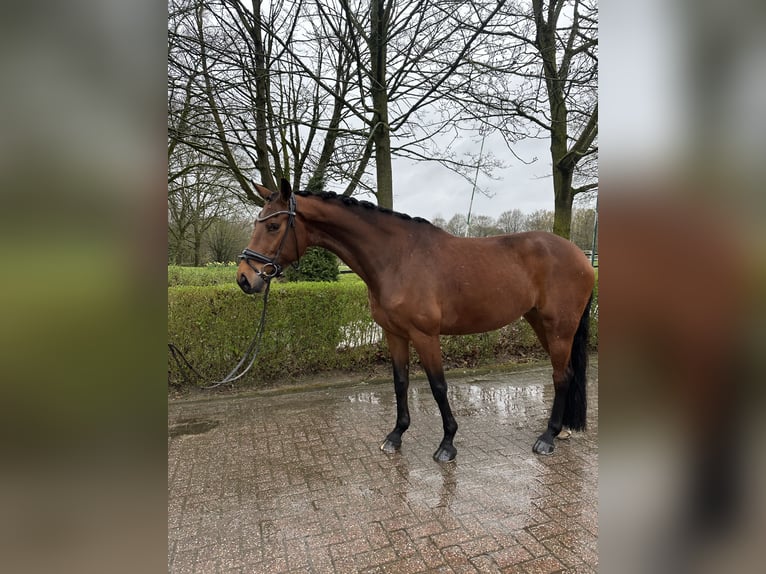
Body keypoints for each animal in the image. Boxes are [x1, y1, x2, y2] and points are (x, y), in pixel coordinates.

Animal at [236, 178, 595, 462]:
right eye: (257, 223)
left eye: (273, 226)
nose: (244, 279)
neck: (397, 258)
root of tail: (580, 255)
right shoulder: (394, 334)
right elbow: (400, 383)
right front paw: (395, 436)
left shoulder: (425, 335)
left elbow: (438, 386)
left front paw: (447, 444)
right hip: (540, 323)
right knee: (566, 373)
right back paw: (562, 430)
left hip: (559, 327)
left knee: (561, 376)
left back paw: (547, 438)